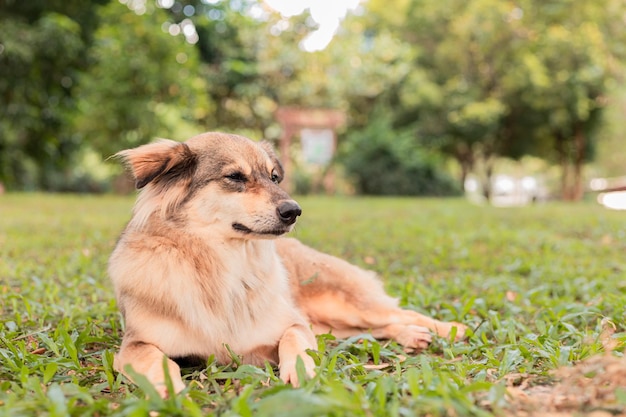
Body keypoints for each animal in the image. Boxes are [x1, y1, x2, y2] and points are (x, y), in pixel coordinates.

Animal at [109, 132, 464, 394]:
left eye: (274, 177)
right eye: (235, 177)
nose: (294, 211)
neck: (222, 267)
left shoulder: (294, 323)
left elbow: (294, 340)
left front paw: (302, 372)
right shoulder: (134, 344)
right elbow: (155, 359)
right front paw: (167, 389)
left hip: (344, 305)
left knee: (394, 314)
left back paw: (448, 328)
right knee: (369, 329)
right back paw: (412, 335)